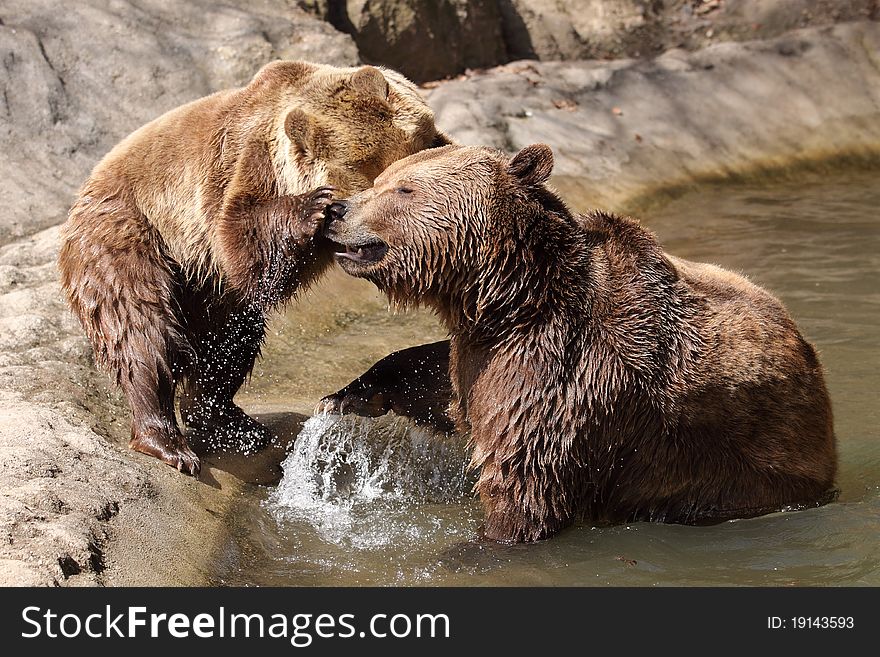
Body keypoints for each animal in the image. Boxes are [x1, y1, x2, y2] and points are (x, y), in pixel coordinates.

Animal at [56, 59, 446, 474]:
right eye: (371, 177)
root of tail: (85, 190)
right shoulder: (243, 164)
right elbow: (243, 237)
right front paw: (313, 205)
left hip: (203, 285)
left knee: (229, 343)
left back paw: (229, 422)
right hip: (131, 235)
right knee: (141, 331)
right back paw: (166, 440)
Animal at [324, 144, 840, 544]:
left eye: (404, 189)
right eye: (380, 178)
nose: (336, 210)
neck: (512, 295)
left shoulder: (563, 373)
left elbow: (524, 481)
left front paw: (481, 544)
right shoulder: (484, 352)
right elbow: (448, 390)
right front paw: (352, 393)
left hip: (739, 468)